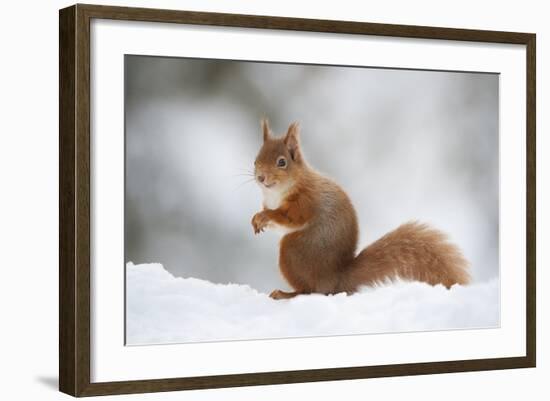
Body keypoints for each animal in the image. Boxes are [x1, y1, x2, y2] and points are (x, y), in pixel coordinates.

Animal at [252, 120, 472, 298]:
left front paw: (265, 216)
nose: (261, 178)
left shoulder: (306, 201)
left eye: (282, 162)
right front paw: (256, 220)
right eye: (256, 160)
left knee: (309, 290)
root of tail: (335, 280)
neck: (277, 192)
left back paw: (286, 294)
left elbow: (291, 218)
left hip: (292, 251)